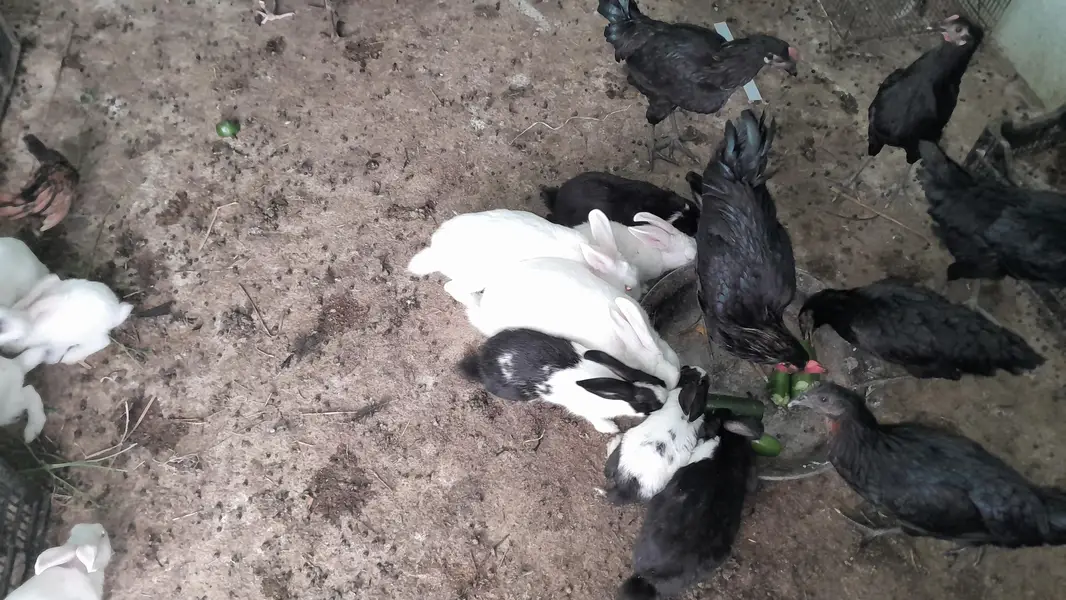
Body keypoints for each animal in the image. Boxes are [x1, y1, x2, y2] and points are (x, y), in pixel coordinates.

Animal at [458, 328, 668, 434]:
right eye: (650, 404)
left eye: (657, 380)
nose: (666, 397)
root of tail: (482, 362)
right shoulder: (587, 411)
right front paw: (611, 429)